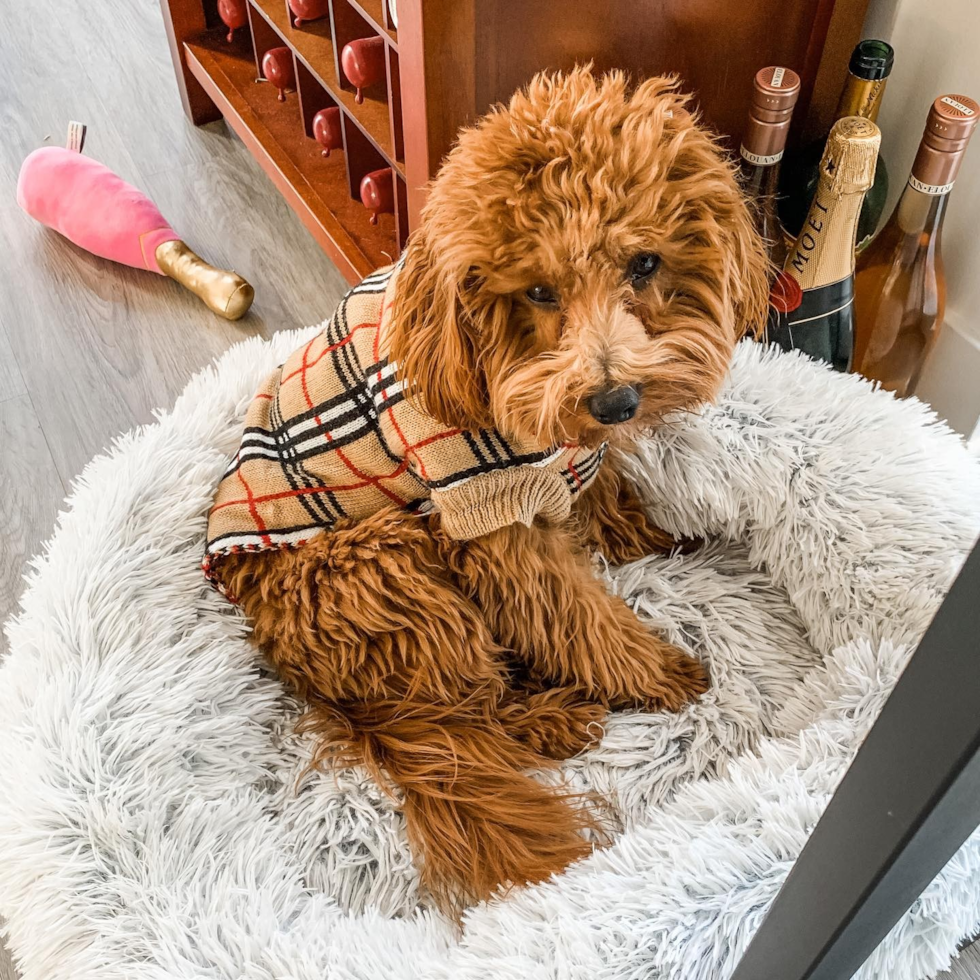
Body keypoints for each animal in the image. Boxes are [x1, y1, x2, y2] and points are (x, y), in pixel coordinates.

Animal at [216, 67, 772, 912]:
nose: (616, 401)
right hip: (386, 568)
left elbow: (603, 493)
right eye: (538, 291)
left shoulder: (569, 458)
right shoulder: (488, 516)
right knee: (465, 715)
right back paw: (548, 719)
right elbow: (577, 615)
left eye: (644, 264)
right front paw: (658, 675)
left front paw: (651, 537)